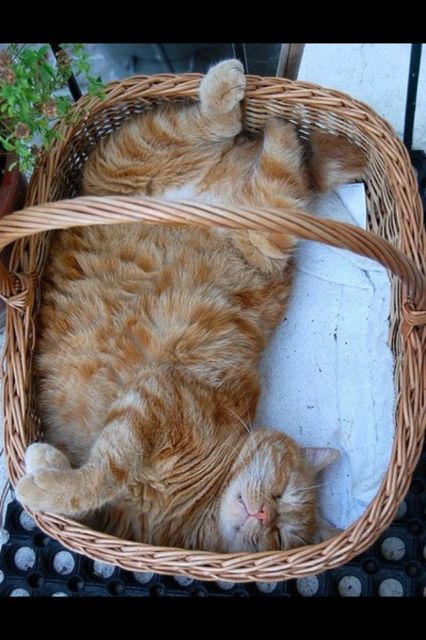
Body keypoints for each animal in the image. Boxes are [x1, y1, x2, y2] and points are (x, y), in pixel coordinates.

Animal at [16, 58, 366, 552]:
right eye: (281, 493)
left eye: (280, 532)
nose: (262, 514)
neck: (196, 500)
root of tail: (218, 201)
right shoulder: (157, 397)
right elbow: (105, 473)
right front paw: (51, 486)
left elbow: (99, 481)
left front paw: (48, 467)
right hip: (140, 159)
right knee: (230, 132)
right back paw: (254, 110)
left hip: (261, 233)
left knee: (274, 173)